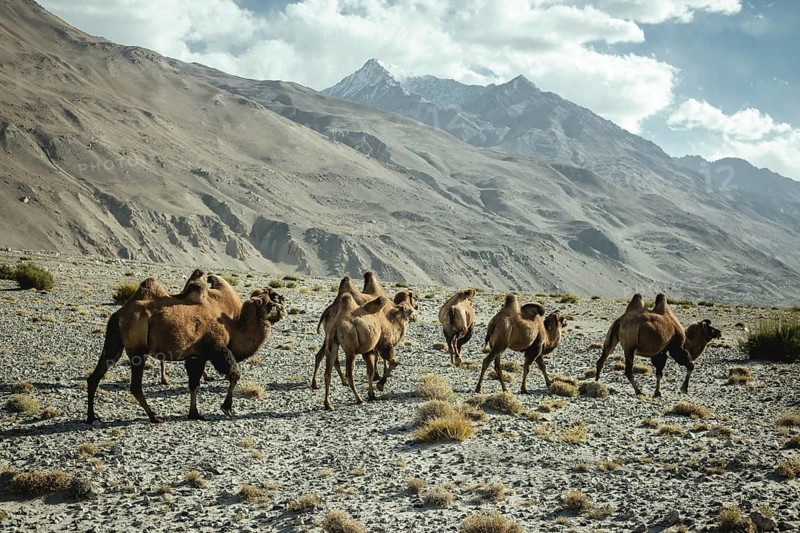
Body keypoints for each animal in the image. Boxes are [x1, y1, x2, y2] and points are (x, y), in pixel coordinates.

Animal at [86, 280, 285, 423]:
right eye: (270, 304)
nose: (283, 309)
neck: (233, 328)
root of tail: (119, 314)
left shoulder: (197, 356)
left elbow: (194, 384)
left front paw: (194, 413)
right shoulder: (216, 349)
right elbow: (234, 374)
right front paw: (227, 408)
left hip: (114, 343)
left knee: (96, 375)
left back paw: (91, 416)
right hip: (138, 351)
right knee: (135, 386)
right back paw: (154, 417)